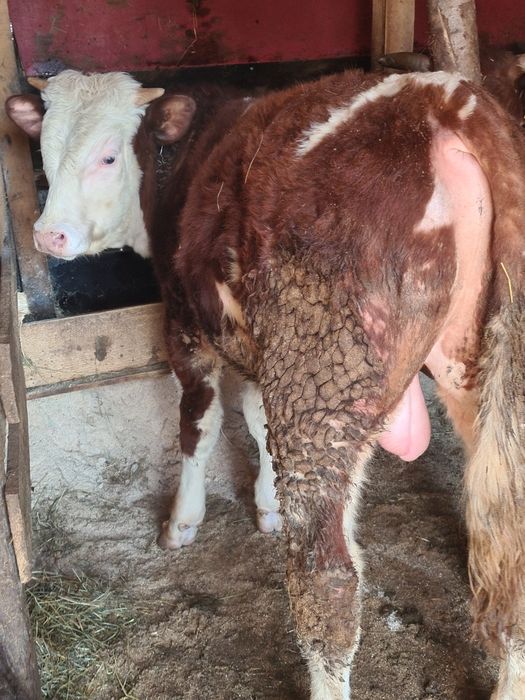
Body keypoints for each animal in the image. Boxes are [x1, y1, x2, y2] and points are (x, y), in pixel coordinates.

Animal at [7, 67, 525, 698]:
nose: (48, 236)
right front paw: (265, 505)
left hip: (321, 381)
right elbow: (255, 419)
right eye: (45, 150)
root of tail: (443, 99)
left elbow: (199, 423)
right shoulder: (260, 348)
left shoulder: (184, 325)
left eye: (108, 156)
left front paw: (182, 521)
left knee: (327, 578)